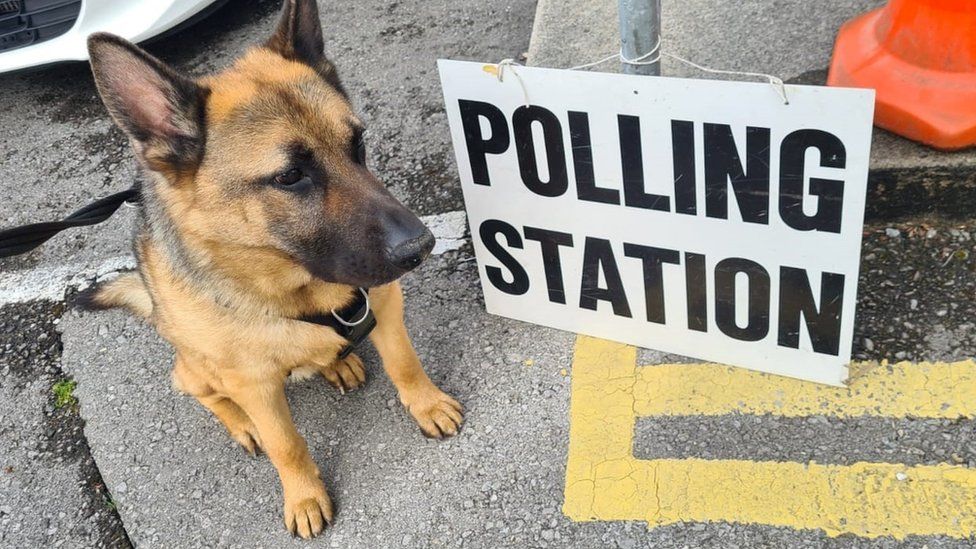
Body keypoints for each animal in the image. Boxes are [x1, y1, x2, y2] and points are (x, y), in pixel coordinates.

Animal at [80, 0, 462, 536]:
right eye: (290, 176)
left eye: (358, 146)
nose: (421, 247)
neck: (293, 292)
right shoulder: (256, 386)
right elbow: (286, 444)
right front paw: (303, 496)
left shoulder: (386, 304)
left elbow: (405, 365)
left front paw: (426, 404)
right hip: (195, 370)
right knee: (200, 391)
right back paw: (242, 422)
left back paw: (338, 362)